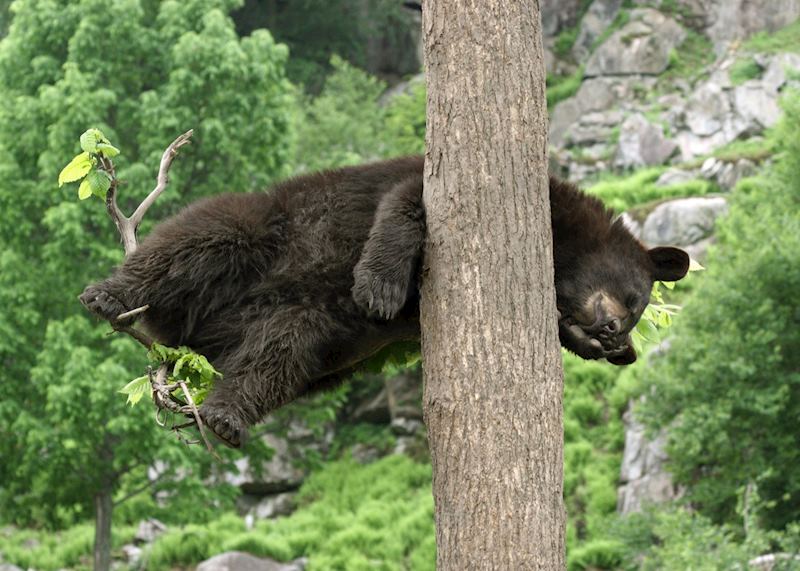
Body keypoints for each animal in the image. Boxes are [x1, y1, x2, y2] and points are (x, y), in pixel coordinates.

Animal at [80, 155, 689, 447]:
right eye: (635, 296)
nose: (616, 337)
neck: (560, 250)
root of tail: (192, 338)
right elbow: (406, 204)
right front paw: (378, 288)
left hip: (304, 329)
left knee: (277, 355)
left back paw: (226, 418)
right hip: (265, 228)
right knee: (201, 240)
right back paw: (107, 295)